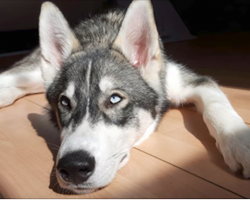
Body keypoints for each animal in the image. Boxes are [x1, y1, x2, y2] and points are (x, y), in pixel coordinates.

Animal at [0, 0, 250, 195]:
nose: (72, 167)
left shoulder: (188, 81)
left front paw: (239, 142)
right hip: (30, 71)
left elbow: (216, 103)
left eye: (114, 99)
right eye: (65, 102)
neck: (101, 39)